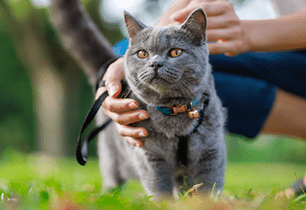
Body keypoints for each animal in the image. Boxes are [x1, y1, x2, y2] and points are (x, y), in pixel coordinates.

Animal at [50, 0, 226, 200]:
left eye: (176, 52)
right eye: (143, 54)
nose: (155, 63)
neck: (173, 109)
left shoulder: (211, 152)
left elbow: (208, 186)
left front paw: (207, 202)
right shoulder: (150, 156)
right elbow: (160, 188)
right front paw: (165, 203)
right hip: (111, 158)